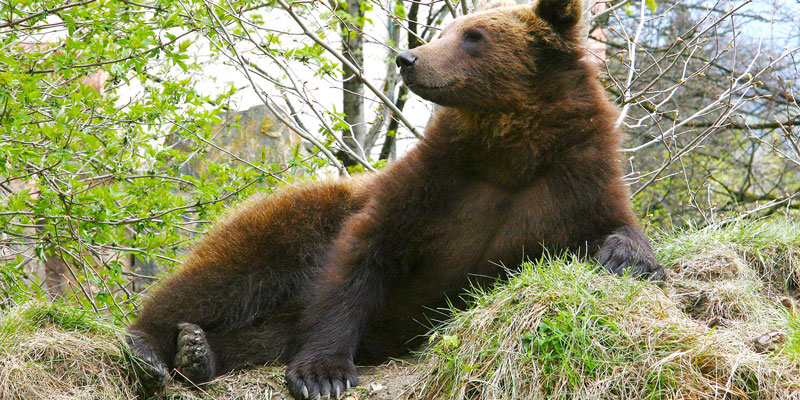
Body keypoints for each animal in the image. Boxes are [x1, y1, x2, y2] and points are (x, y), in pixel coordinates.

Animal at [126, 0, 664, 398]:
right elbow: (363, 254)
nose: (409, 58)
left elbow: (609, 226)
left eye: (474, 36)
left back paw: (200, 352)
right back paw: (151, 347)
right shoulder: (437, 183)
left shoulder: (573, 179)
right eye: (449, 29)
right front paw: (323, 374)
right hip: (298, 217)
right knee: (232, 272)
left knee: (264, 332)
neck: (510, 146)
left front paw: (628, 257)